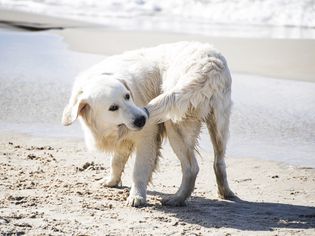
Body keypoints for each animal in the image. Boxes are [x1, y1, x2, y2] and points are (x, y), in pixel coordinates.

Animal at [62, 42, 235, 206]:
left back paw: (177, 199)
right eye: (113, 107)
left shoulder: (147, 137)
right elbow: (116, 161)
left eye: (127, 96)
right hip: (219, 125)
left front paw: (136, 196)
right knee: (219, 162)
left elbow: (139, 170)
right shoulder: (123, 139)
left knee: (192, 168)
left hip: (175, 124)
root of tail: (209, 65)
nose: (142, 119)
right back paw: (225, 192)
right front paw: (112, 181)